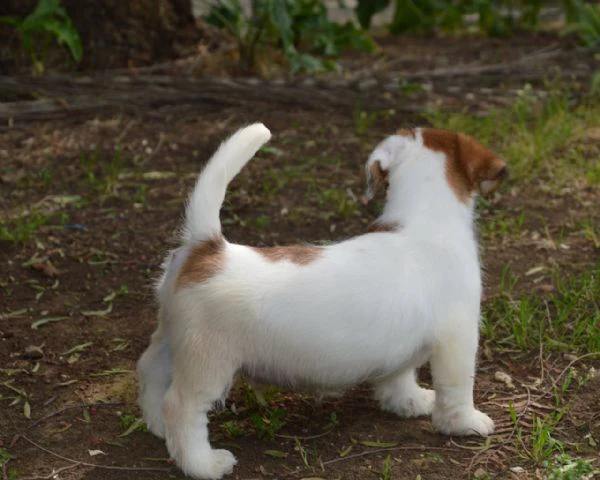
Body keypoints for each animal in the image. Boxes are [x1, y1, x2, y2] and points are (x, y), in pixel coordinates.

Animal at [138, 124, 508, 480]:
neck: (422, 220)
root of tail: (206, 248)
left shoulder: (402, 345)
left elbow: (400, 376)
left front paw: (410, 401)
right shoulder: (458, 339)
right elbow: (457, 388)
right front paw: (466, 423)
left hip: (173, 340)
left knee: (150, 370)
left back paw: (158, 427)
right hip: (208, 362)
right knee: (182, 407)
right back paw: (202, 464)